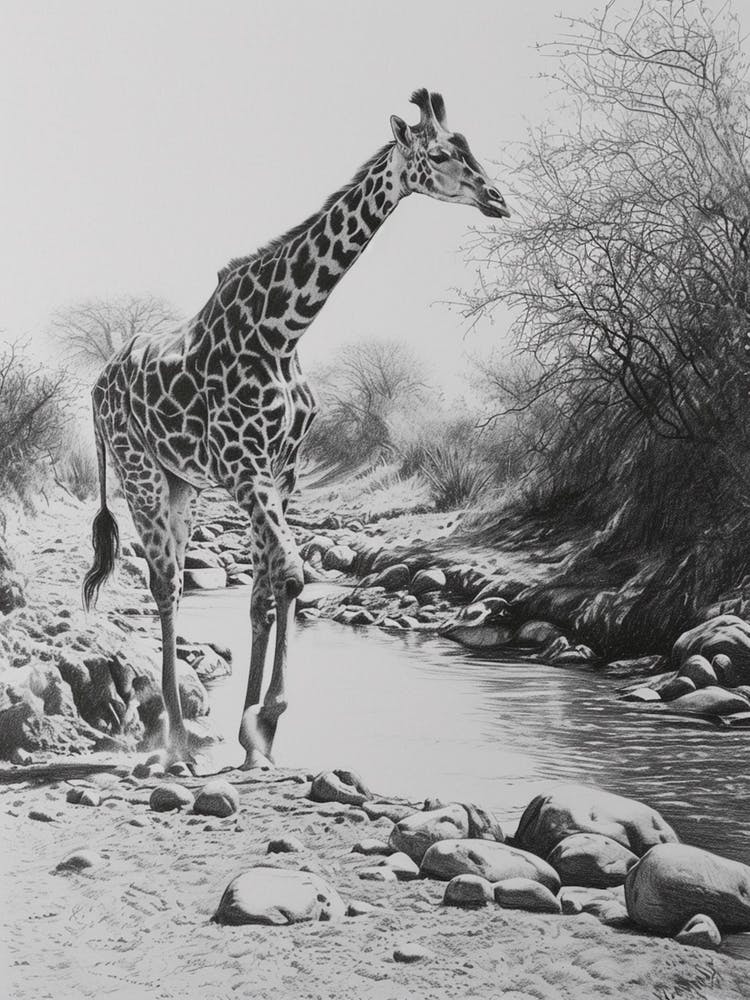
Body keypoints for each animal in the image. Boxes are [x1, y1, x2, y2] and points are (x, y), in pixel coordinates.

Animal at [82, 89, 510, 769]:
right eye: (442, 153)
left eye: (470, 145)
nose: (497, 198)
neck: (284, 327)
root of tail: (97, 384)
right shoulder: (245, 469)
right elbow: (291, 574)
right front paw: (263, 720)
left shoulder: (281, 473)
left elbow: (267, 590)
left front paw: (258, 739)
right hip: (139, 473)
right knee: (166, 583)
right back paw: (176, 742)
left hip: (181, 483)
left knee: (174, 579)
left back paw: (185, 735)